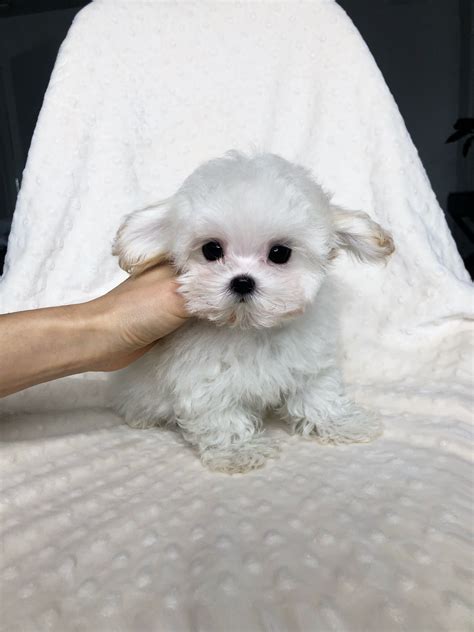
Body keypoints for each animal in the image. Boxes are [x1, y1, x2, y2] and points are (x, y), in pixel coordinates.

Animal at [110, 149, 392, 474]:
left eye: (279, 253)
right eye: (211, 250)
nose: (242, 281)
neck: (250, 328)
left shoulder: (309, 362)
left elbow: (320, 393)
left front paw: (342, 423)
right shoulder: (205, 381)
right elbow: (221, 415)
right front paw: (237, 451)